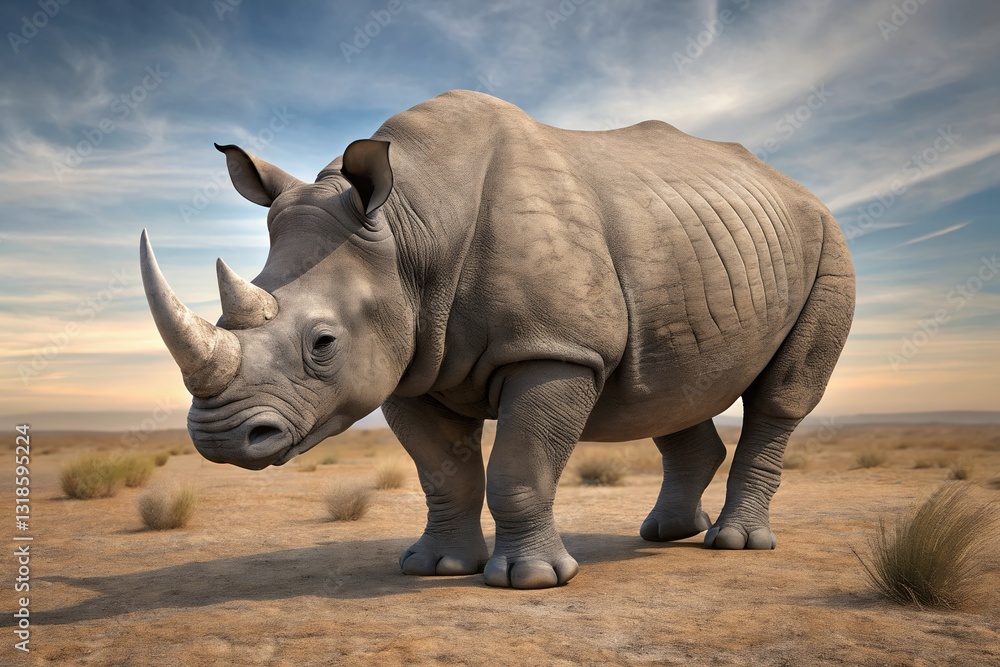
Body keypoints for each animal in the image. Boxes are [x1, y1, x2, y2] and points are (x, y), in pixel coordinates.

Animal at [140, 90, 854, 589]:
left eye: (323, 343)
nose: (219, 440)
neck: (411, 228)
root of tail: (795, 188)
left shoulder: (554, 349)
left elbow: (520, 463)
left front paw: (530, 581)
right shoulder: (409, 362)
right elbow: (442, 471)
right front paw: (435, 568)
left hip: (826, 240)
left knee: (779, 399)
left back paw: (734, 544)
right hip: (699, 244)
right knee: (670, 384)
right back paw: (663, 535)